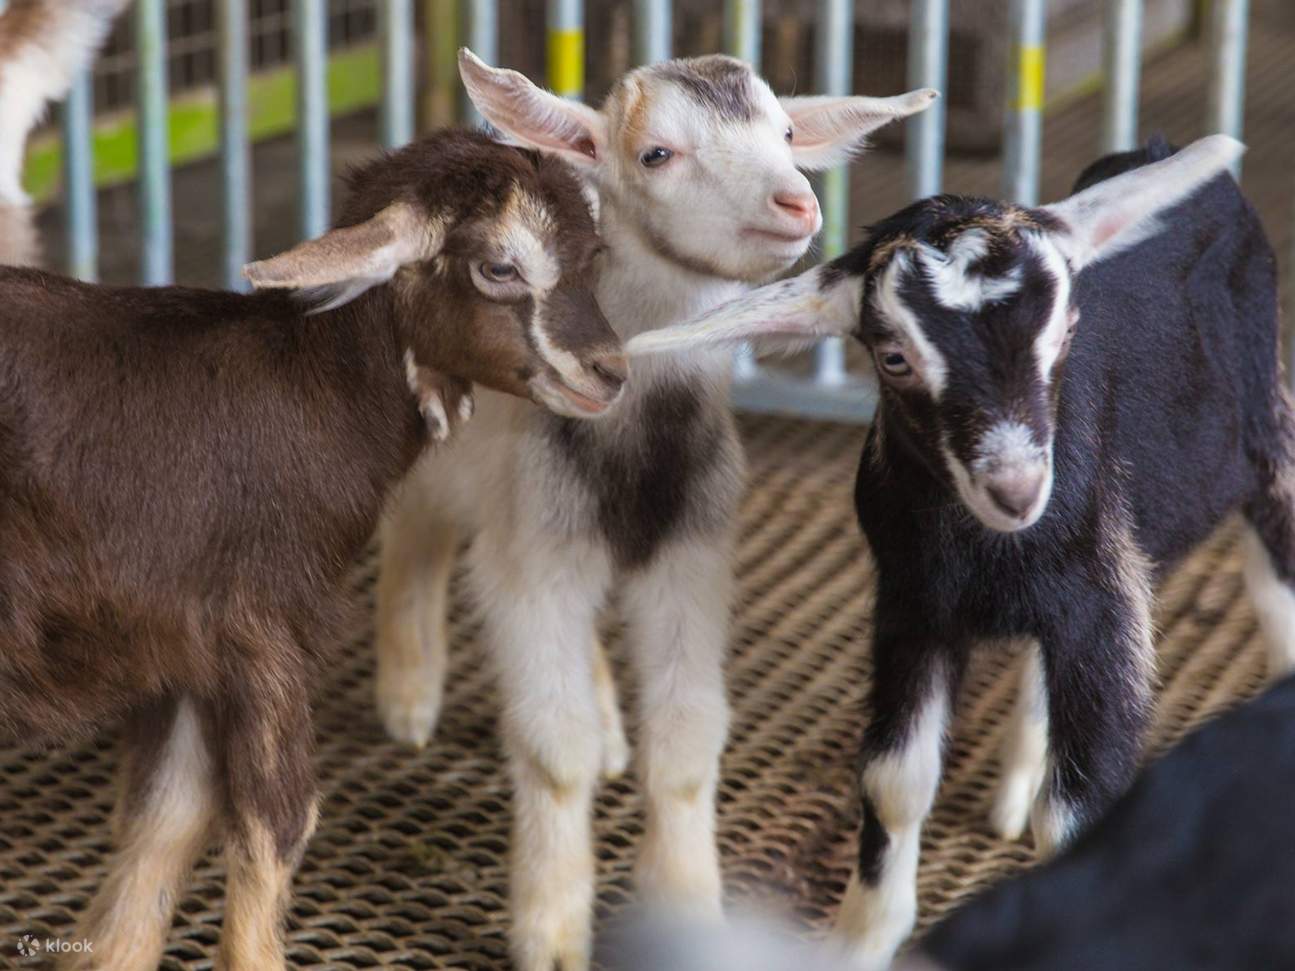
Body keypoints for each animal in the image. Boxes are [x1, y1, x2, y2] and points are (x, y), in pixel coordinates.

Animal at [0, 129, 623, 971]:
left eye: (594, 252)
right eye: (499, 266)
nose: (610, 372)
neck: (313, 387)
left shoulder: (186, 649)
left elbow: (165, 819)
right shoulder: (262, 628)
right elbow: (275, 823)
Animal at [370, 48, 936, 971]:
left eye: (788, 133)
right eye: (656, 154)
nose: (796, 202)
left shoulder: (686, 557)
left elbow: (685, 744)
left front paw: (686, 905)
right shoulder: (533, 554)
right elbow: (551, 749)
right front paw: (550, 929)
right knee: (414, 534)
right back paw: (409, 692)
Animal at [627, 134, 1289, 969]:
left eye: (1065, 330)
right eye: (892, 357)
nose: (1014, 487)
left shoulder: (1101, 606)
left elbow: (1079, 811)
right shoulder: (912, 604)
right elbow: (893, 777)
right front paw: (861, 935)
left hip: (1268, 433)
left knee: (1275, 590)